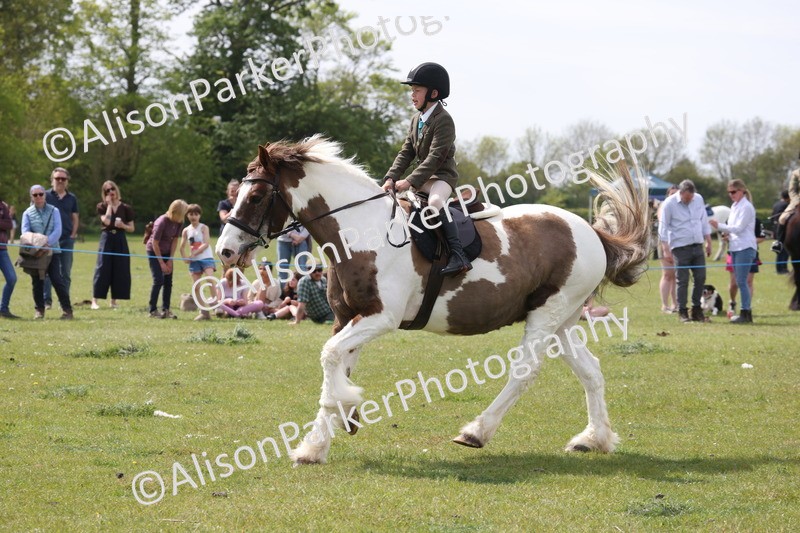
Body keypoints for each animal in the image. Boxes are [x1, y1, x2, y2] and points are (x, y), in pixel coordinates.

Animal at [216, 135, 651, 465]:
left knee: (525, 371)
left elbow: (330, 356)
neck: (360, 232)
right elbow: (337, 362)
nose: (225, 251)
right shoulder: (348, 318)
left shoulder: (381, 318)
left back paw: (476, 432)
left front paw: (340, 413)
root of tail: (593, 233)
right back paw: (593, 439)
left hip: (547, 314)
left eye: (256, 196)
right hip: (562, 319)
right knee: (591, 371)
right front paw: (321, 439)